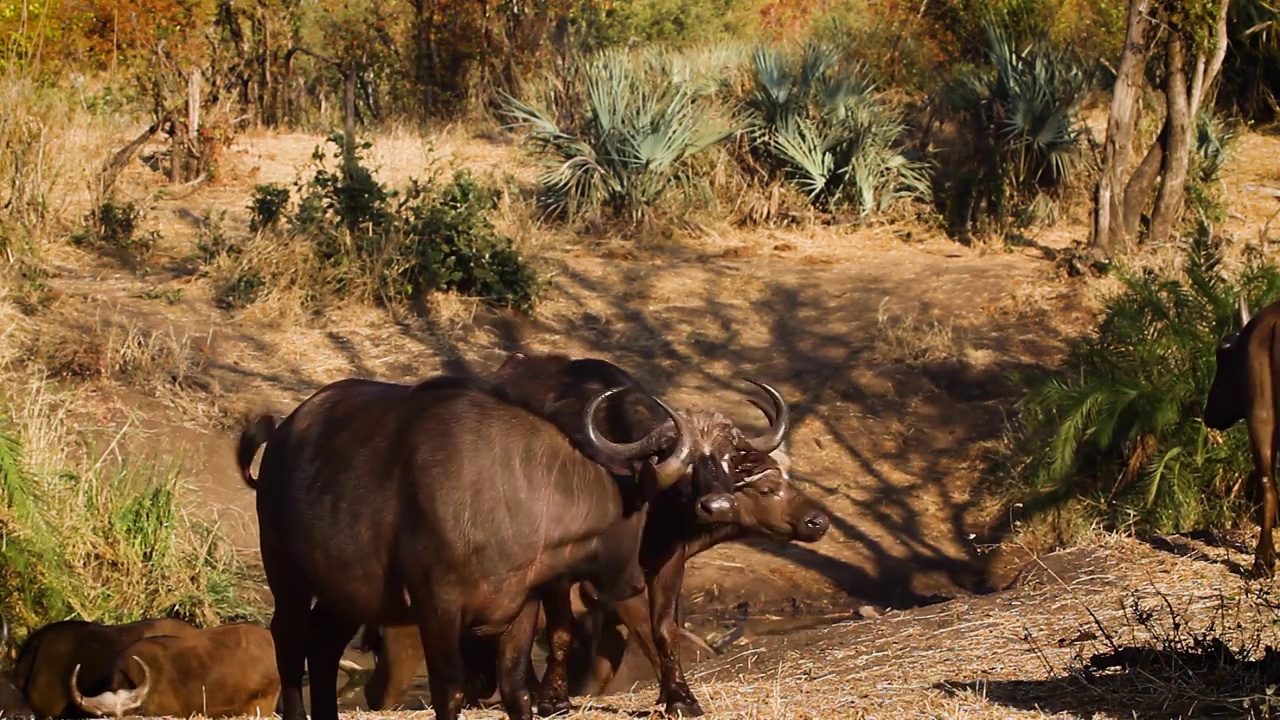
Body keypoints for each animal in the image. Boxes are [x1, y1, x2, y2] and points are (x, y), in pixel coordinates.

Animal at [239, 353, 778, 720]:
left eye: (730, 460)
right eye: (681, 465)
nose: (719, 506)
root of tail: (284, 432)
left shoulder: (530, 600)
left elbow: (524, 681)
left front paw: (680, 697)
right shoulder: (438, 603)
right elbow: (455, 686)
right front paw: (553, 698)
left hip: (347, 592)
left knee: (324, 646)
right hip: (286, 575)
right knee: (289, 639)